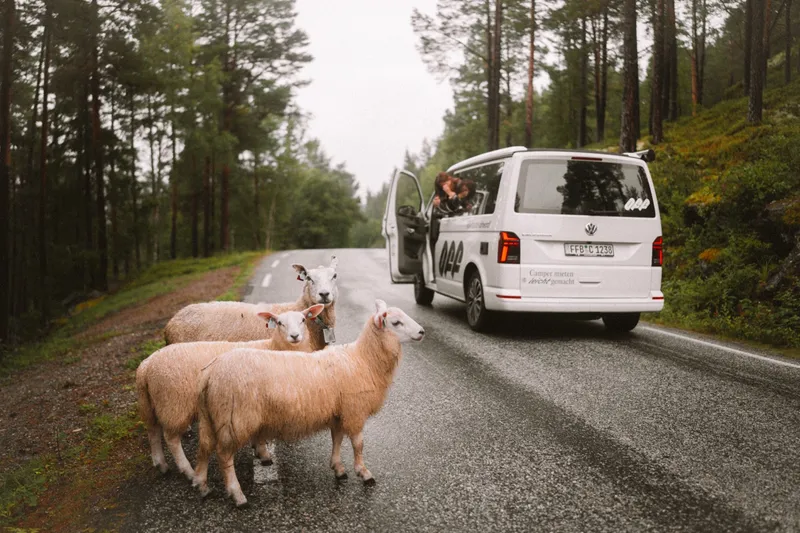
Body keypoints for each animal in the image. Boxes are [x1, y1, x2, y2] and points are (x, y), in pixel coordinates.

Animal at [135, 304, 324, 478]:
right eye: (279, 323)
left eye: (303, 320)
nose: (295, 336)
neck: (273, 347)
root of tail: (146, 367)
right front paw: (263, 453)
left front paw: (259, 451)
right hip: (173, 403)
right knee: (171, 439)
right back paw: (188, 471)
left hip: (152, 403)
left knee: (153, 431)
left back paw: (161, 464)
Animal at [192, 298, 424, 504]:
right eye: (396, 323)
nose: (422, 332)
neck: (363, 359)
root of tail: (209, 373)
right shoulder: (354, 410)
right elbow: (358, 444)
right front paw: (364, 473)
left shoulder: (338, 411)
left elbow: (337, 439)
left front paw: (338, 468)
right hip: (234, 418)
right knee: (224, 455)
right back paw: (237, 494)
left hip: (212, 417)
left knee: (204, 447)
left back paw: (202, 485)